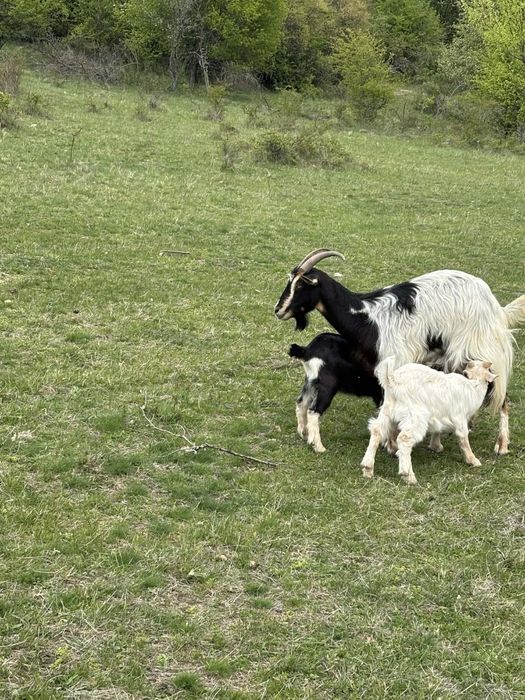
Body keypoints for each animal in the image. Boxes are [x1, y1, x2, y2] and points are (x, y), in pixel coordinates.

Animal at [275, 249, 525, 454]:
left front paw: (392, 444)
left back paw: (502, 445)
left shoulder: (395, 364)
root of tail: (496, 307)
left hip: (481, 350)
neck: (368, 320)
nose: (278, 310)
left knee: (501, 395)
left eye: (301, 285)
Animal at [360, 358, 496, 484]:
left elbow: (437, 431)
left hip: (387, 411)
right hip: (415, 416)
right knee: (404, 439)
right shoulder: (459, 418)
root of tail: (393, 380)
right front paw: (473, 461)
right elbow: (463, 439)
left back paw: (367, 469)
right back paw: (408, 476)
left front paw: (436, 446)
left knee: (376, 431)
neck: (473, 387)